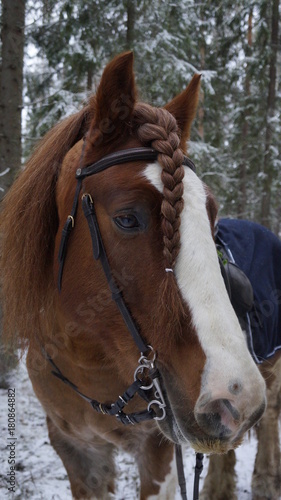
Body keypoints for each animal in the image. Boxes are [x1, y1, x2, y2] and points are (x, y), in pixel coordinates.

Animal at [0, 52, 264, 498]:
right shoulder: (76, 450)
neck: (86, 360)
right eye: (127, 218)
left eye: (211, 215)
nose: (237, 401)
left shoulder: (159, 453)